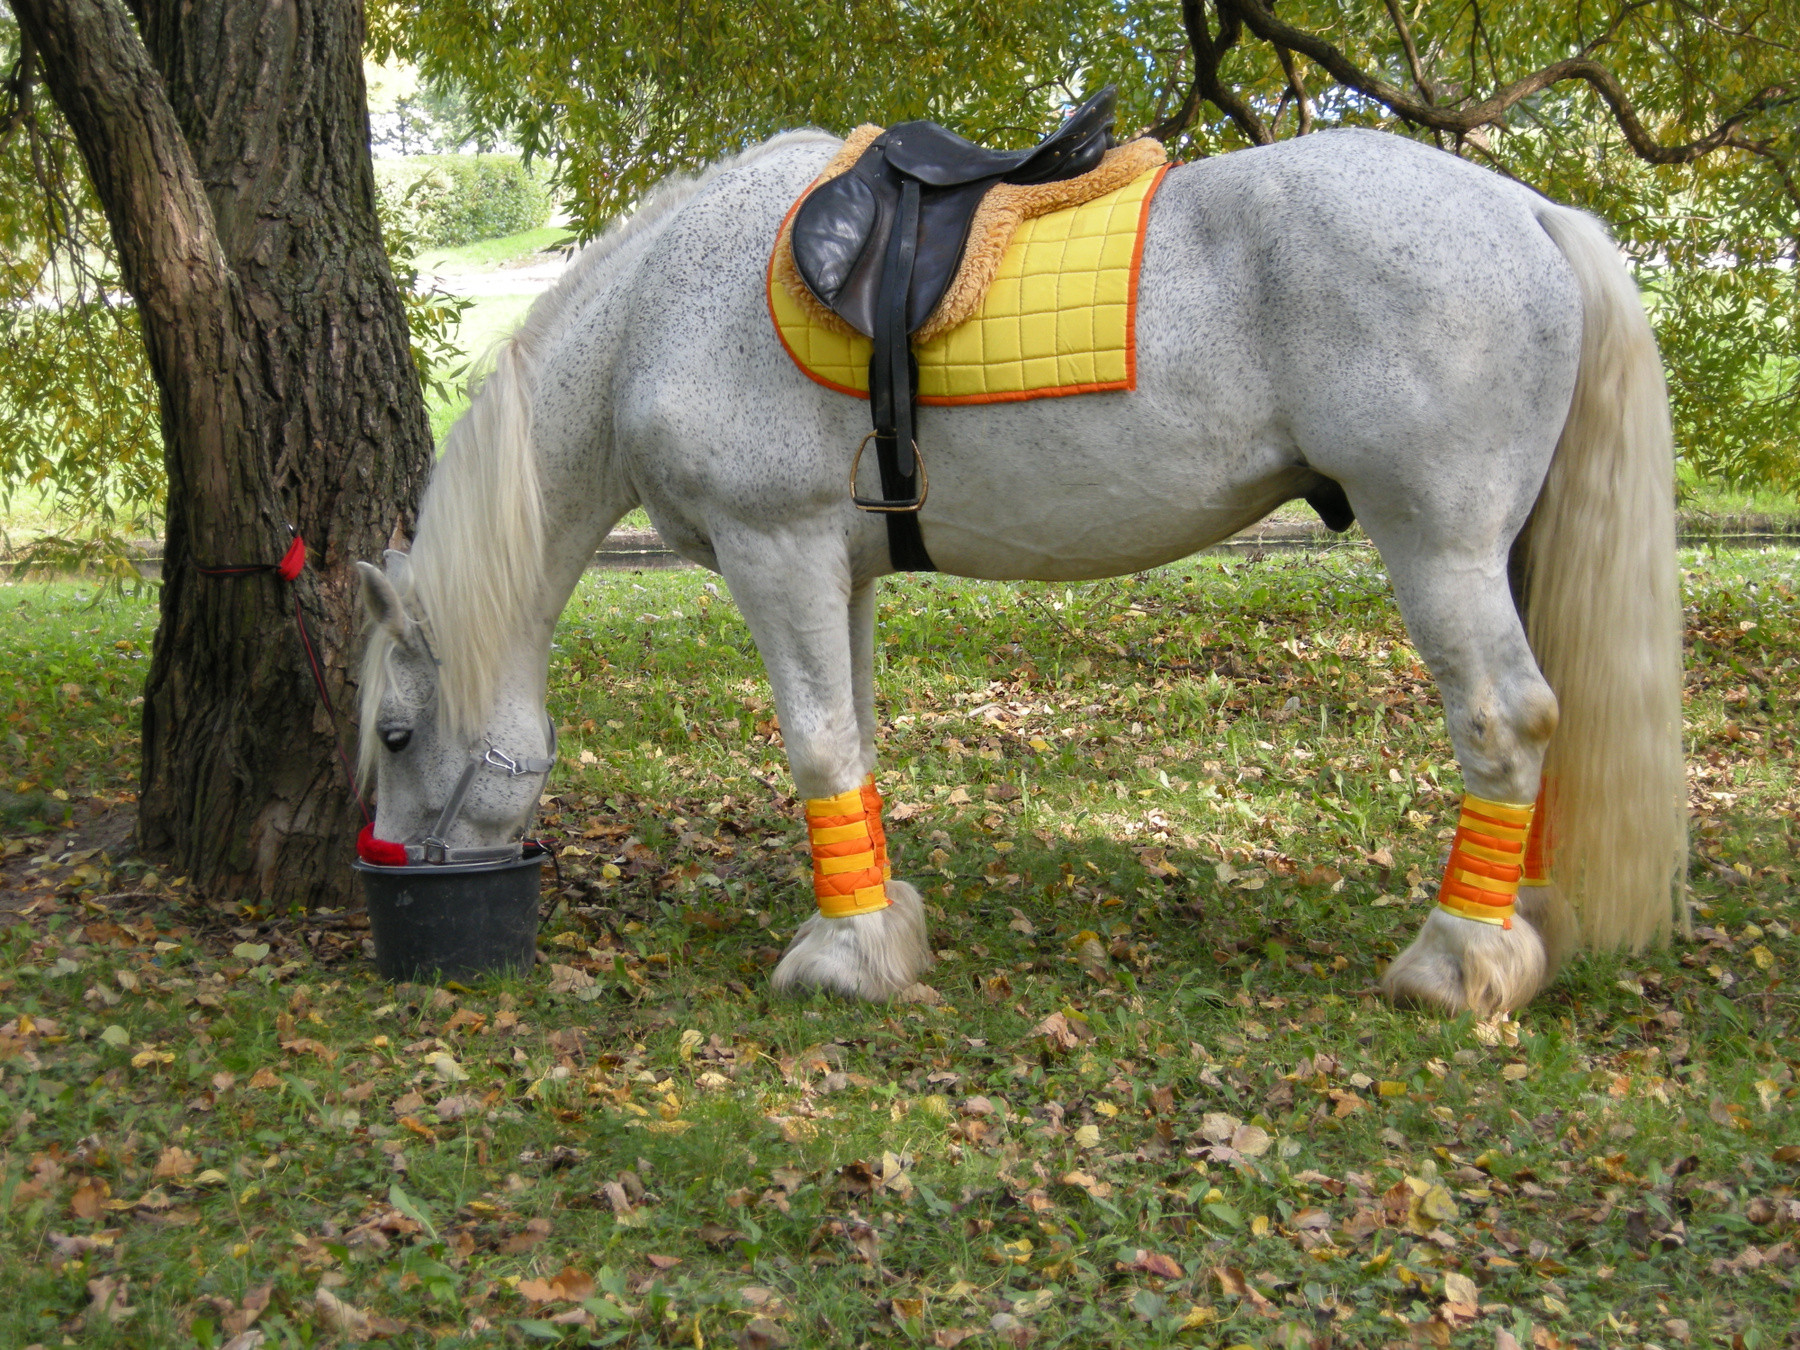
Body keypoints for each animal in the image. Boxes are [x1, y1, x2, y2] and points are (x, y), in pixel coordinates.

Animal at [353, 123, 1686, 1016]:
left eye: (397, 735)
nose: (401, 875)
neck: (656, 317)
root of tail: (1526, 210)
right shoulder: (838, 570)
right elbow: (857, 740)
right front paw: (883, 925)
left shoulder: (773, 550)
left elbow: (818, 748)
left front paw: (840, 962)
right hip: (1504, 552)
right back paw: (1523, 927)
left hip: (1438, 543)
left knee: (1504, 721)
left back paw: (1455, 963)